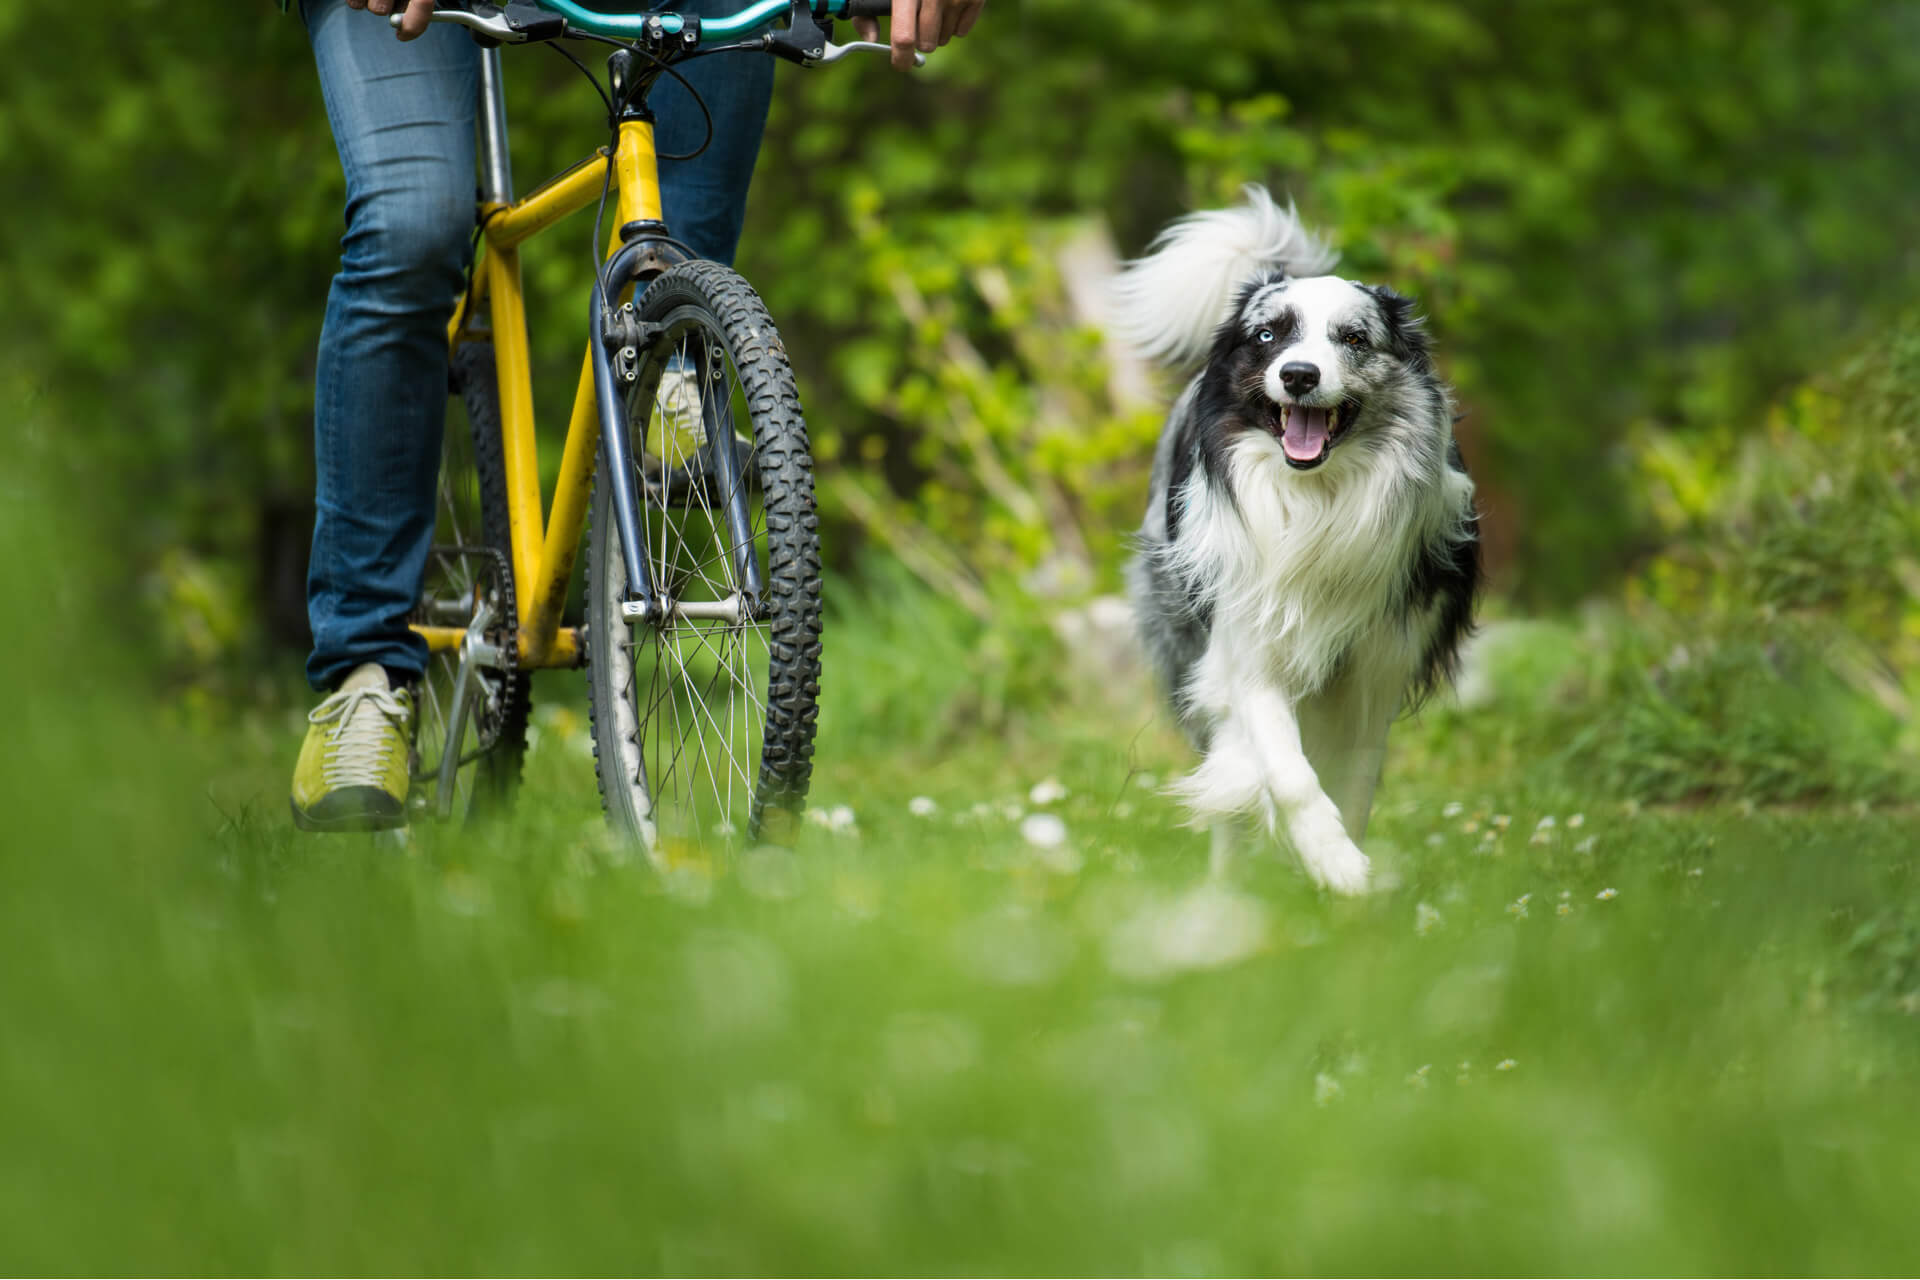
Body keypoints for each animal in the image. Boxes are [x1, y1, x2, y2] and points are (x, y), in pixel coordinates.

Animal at [1113, 185, 1482, 898]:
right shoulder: (1247, 646)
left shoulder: (1377, 670)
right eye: (1267, 335)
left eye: (1353, 338)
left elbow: (1354, 784)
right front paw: (1330, 860)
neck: (1316, 498)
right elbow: (1286, 772)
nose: (1301, 375)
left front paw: (1343, 878)